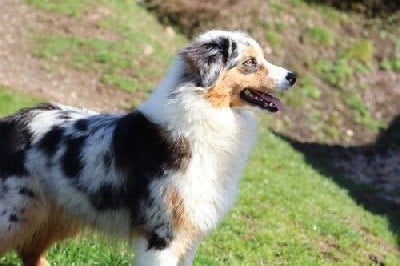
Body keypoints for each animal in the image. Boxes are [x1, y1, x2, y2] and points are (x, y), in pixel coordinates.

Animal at [0, 30, 294, 264]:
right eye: (250, 62)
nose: (293, 76)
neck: (205, 108)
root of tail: (11, 121)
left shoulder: (190, 235)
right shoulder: (161, 235)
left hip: (60, 212)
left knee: (30, 253)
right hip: (15, 215)